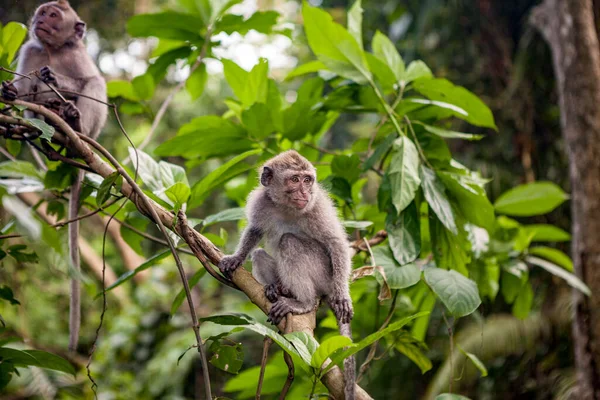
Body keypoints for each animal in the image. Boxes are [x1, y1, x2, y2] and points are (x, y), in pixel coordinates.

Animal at [1, 0, 107, 352]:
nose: (40, 19)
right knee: (33, 102)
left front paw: (55, 79)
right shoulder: (30, 50)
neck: (53, 48)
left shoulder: (78, 55)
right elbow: (24, 92)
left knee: (95, 86)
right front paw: (10, 91)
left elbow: (89, 81)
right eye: (43, 11)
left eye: (54, 14)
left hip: (92, 133)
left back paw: (73, 122)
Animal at [218, 151, 354, 400]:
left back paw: (303, 302)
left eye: (308, 180)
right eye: (295, 179)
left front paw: (343, 296)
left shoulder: (317, 206)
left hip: (325, 274)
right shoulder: (261, 201)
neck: (286, 207)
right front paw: (236, 257)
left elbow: (336, 243)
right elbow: (255, 230)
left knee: (289, 242)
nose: (304, 193)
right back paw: (278, 288)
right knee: (260, 254)